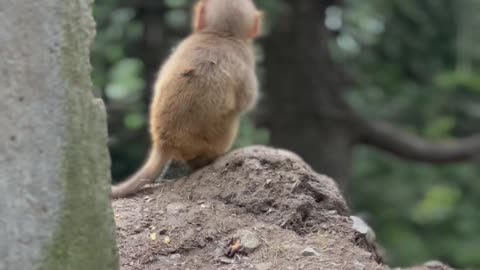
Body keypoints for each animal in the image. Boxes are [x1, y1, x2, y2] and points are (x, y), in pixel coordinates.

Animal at [111, 0, 262, 198]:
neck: (220, 34)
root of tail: (163, 143)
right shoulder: (245, 58)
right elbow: (246, 101)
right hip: (215, 141)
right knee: (232, 117)